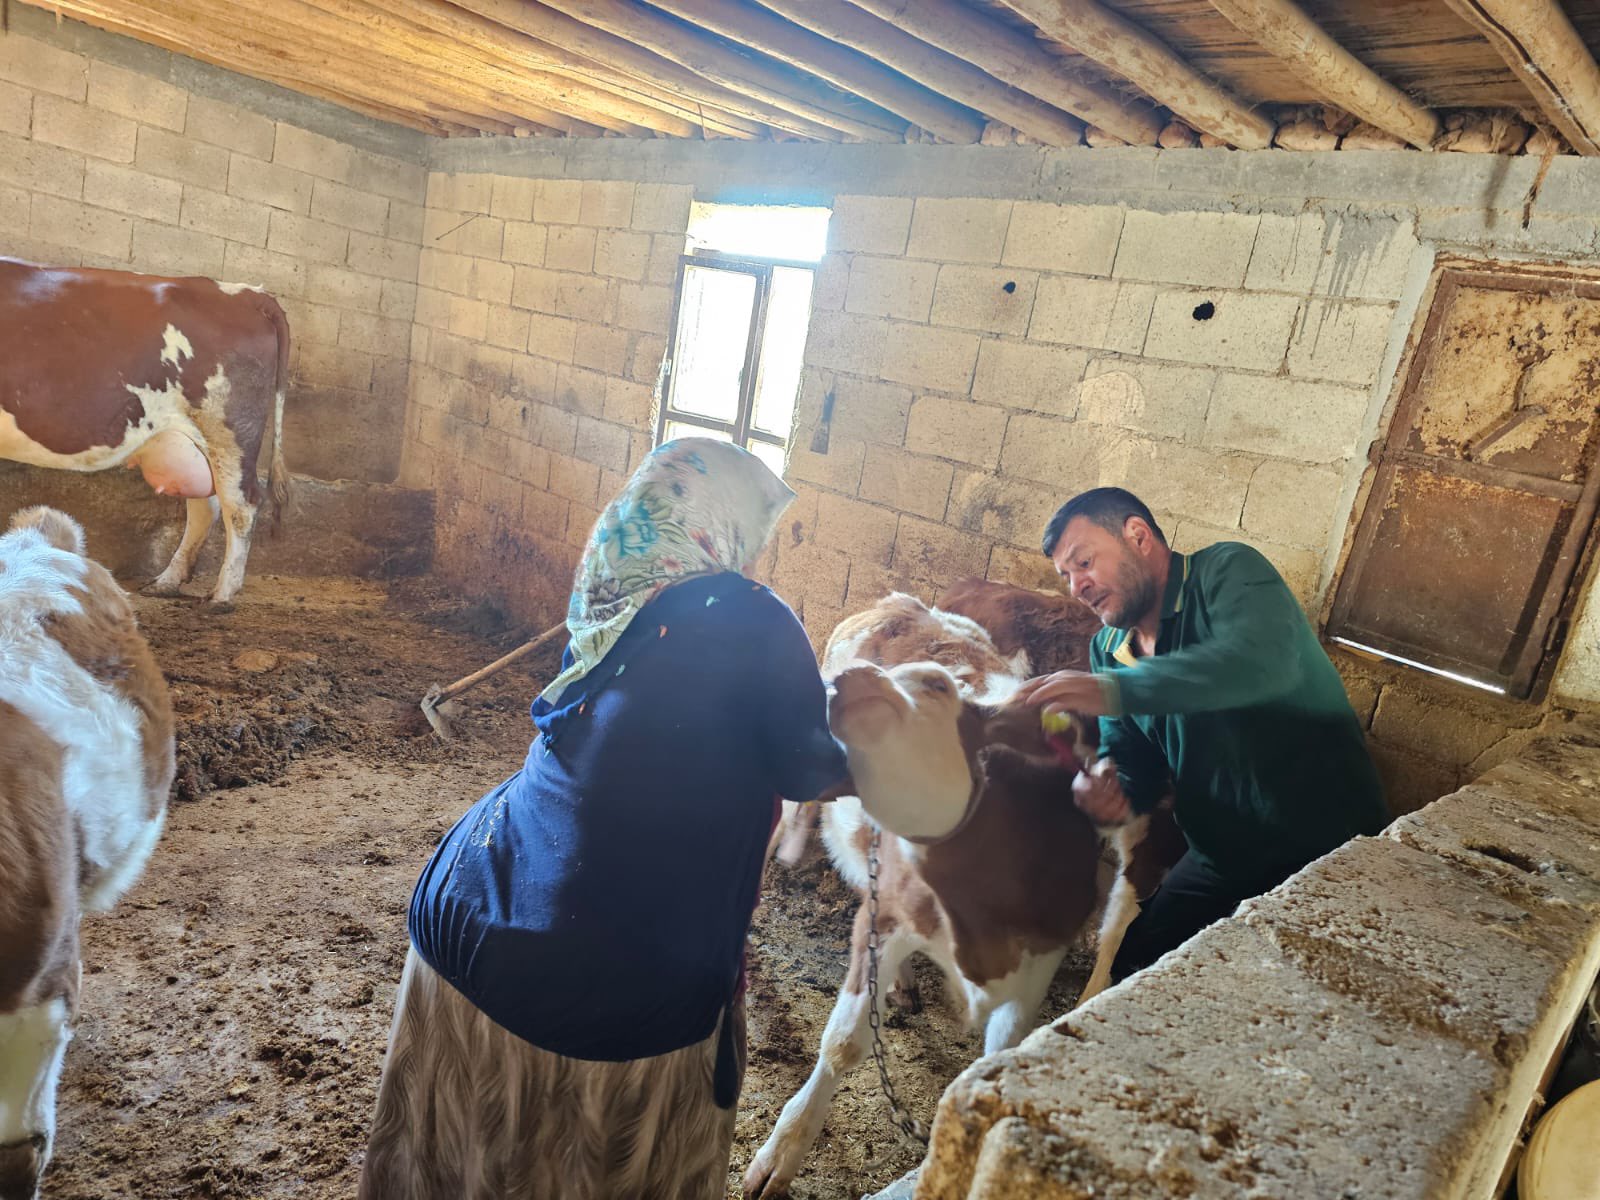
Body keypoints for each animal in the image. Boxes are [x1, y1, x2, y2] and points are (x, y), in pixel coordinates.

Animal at [0, 257, 292, 604]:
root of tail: (249, 293)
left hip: (230, 430)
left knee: (241, 504)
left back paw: (222, 594)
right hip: (193, 442)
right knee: (205, 505)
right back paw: (167, 581)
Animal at [742, 582, 1184, 1200]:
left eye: (938, 687)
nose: (847, 682)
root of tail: (899, 601)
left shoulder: (1040, 955)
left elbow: (999, 1053)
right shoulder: (885, 919)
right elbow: (844, 1041)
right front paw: (781, 1153)